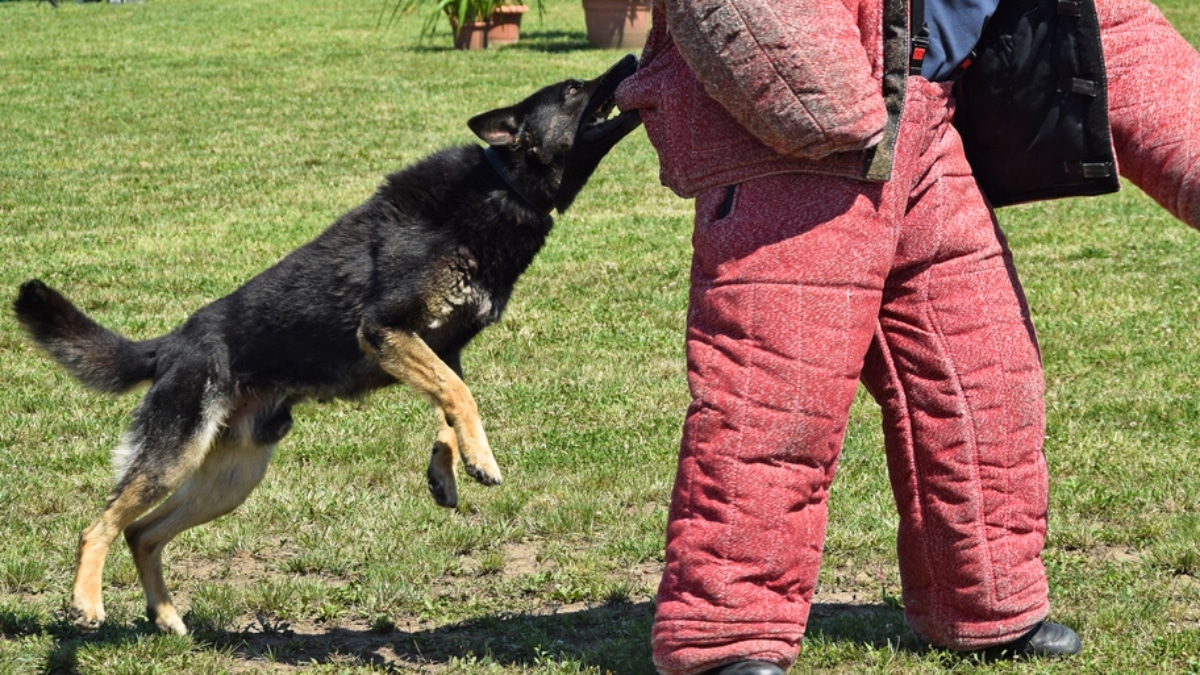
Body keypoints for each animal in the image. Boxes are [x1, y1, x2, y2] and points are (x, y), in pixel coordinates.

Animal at [14, 55, 643, 634]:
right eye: (573, 89)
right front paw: (481, 460)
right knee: (99, 525)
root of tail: (171, 346)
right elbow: (459, 396)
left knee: (141, 532)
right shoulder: (385, 331)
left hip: (231, 482)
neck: (500, 186)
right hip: (176, 457)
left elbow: (451, 399)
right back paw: (88, 601)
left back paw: (166, 617)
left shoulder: (440, 347)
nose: (633, 58)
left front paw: (447, 468)